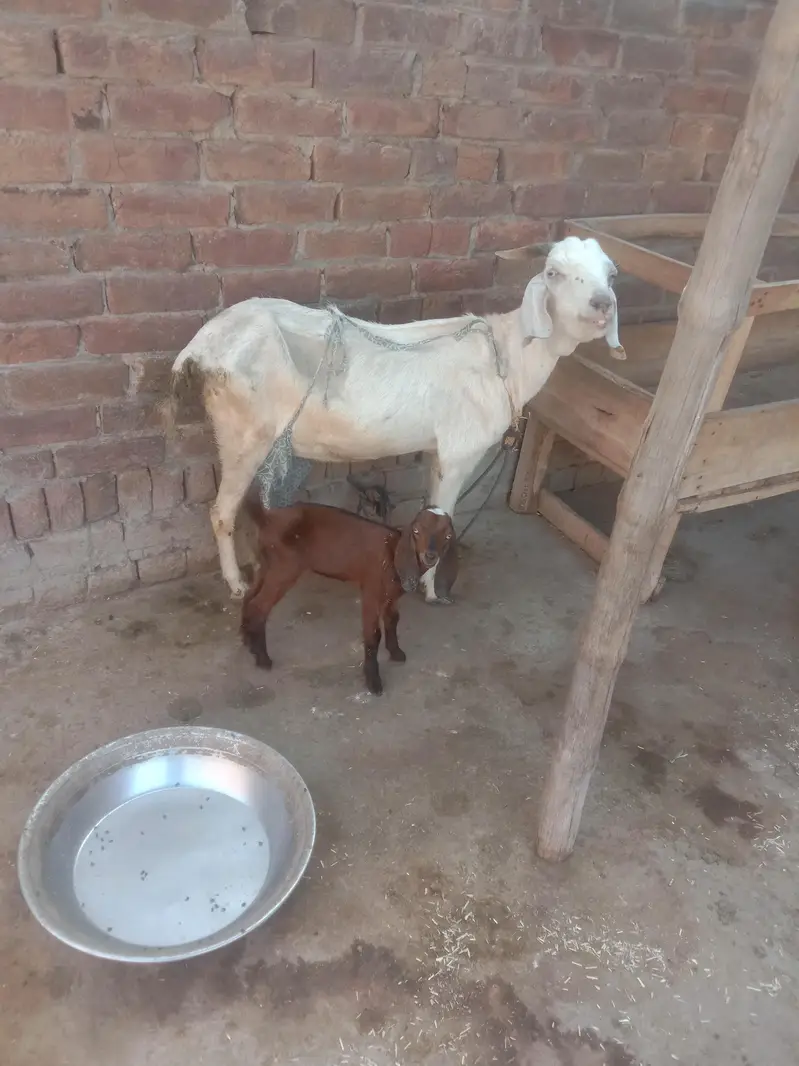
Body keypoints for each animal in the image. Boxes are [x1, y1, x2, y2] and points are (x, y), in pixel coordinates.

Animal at [168, 236, 623, 603]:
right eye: (554, 272)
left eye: (610, 273)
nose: (603, 304)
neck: (507, 359)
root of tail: (200, 345)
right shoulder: (460, 451)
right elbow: (447, 516)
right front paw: (432, 589)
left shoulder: (438, 451)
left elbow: (432, 511)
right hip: (242, 434)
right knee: (221, 511)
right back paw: (237, 584)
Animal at [240, 500, 457, 695]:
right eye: (417, 531)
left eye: (448, 535)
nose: (430, 556)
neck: (393, 550)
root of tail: (267, 518)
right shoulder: (371, 590)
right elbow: (373, 635)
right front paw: (373, 681)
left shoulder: (391, 595)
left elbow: (393, 620)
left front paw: (396, 652)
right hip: (285, 567)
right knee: (259, 606)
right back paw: (262, 658)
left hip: (266, 564)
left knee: (248, 597)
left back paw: (247, 640)